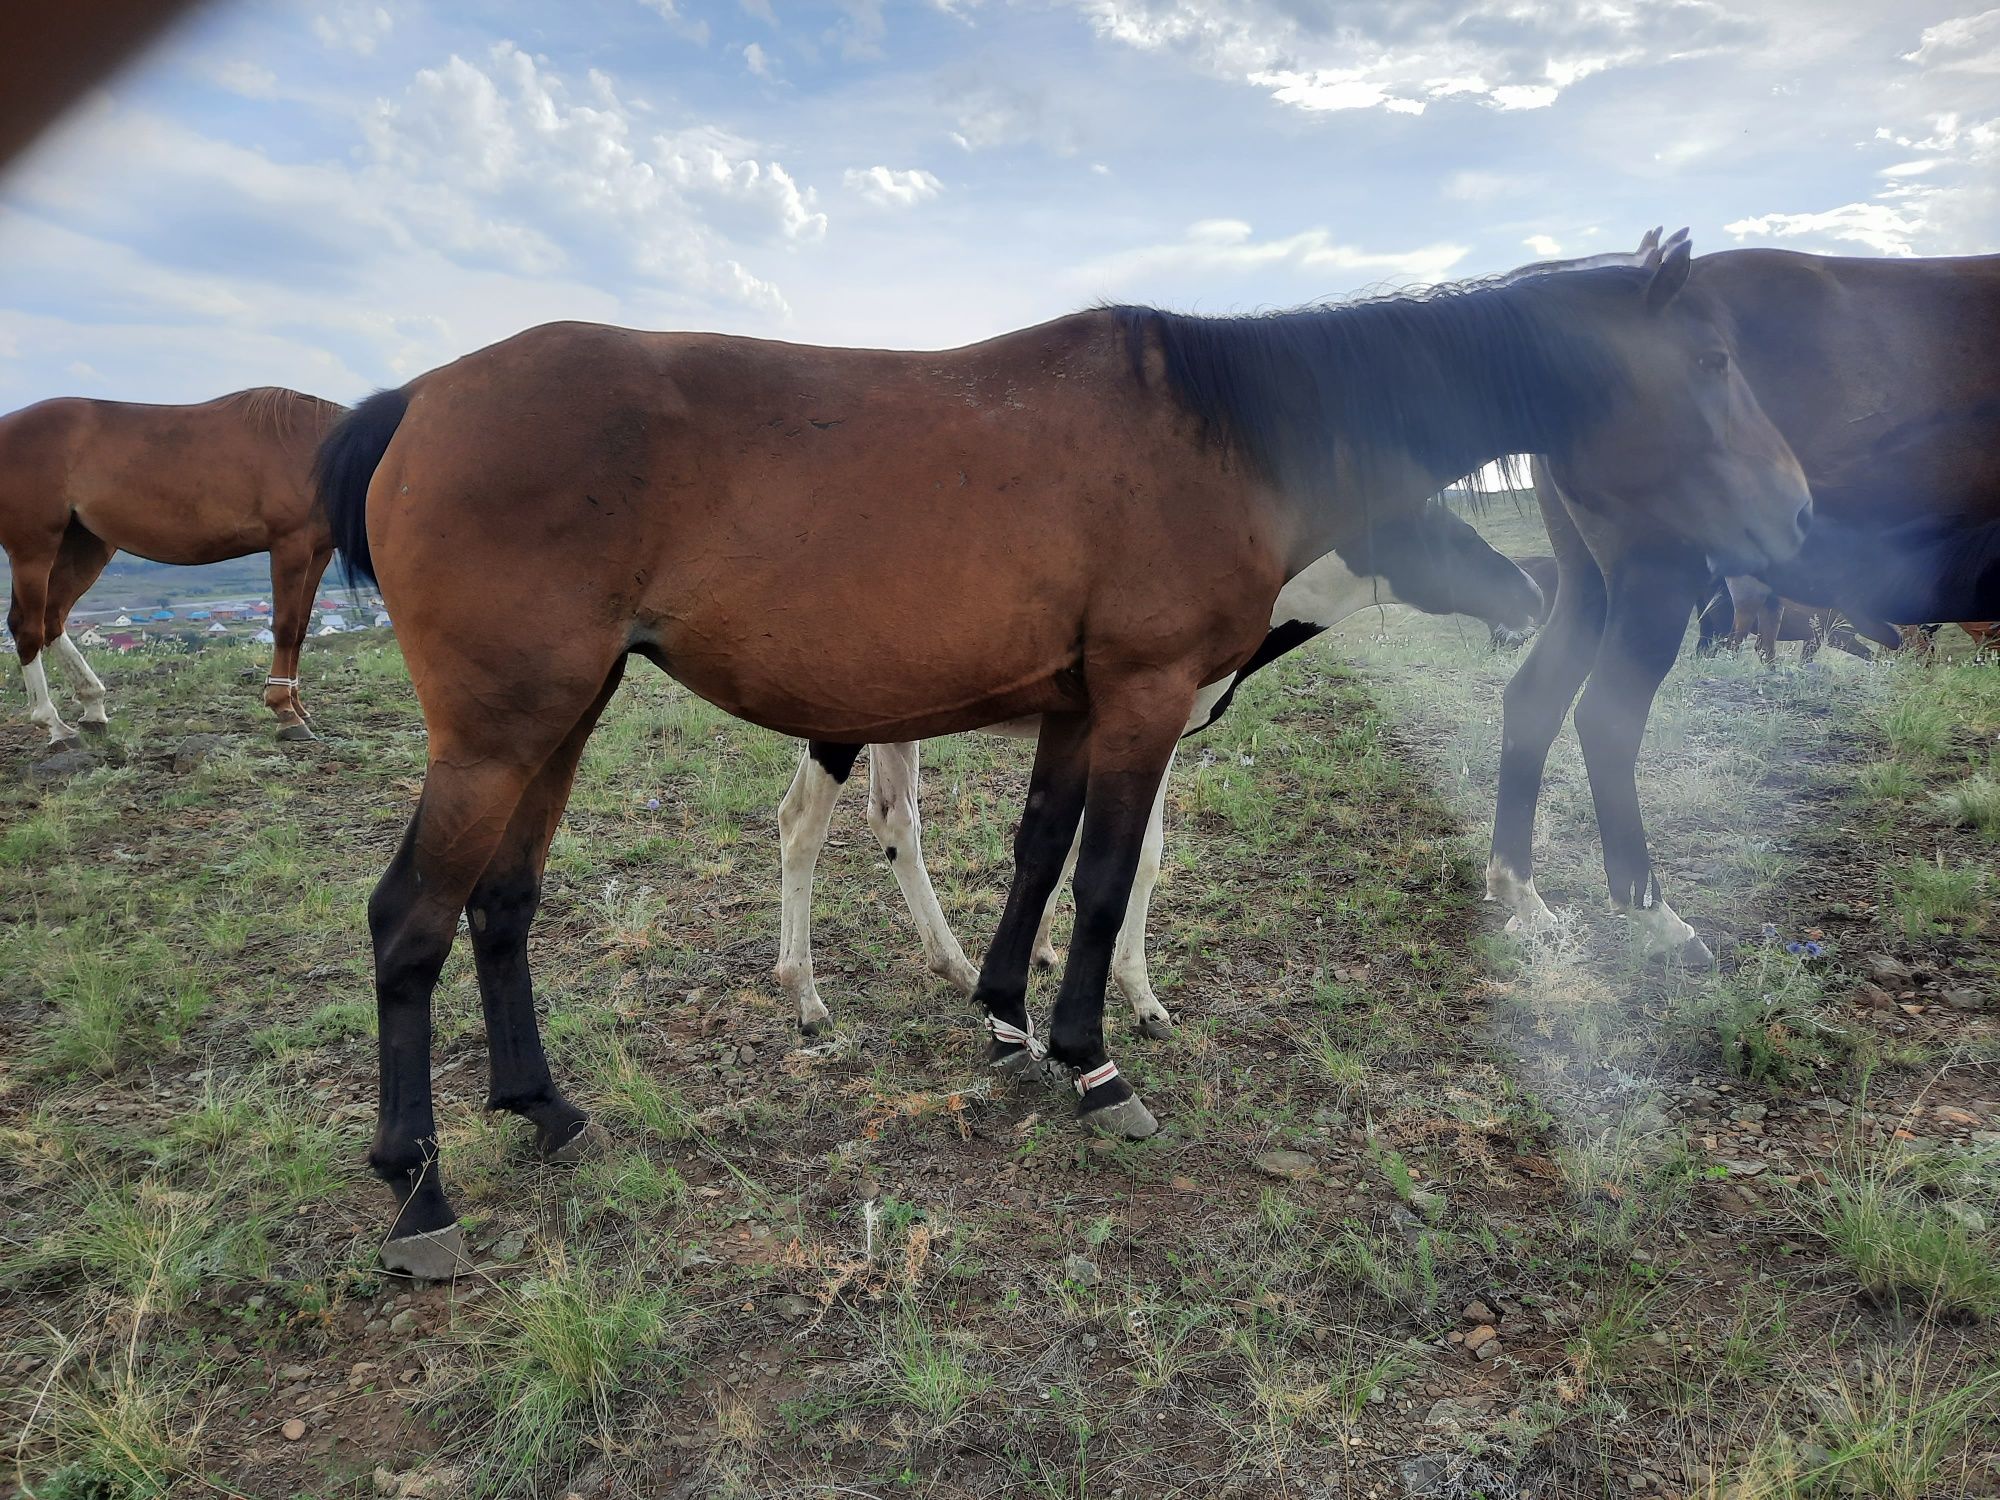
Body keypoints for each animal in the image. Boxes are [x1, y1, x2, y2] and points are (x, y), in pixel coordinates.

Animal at [1, 384, 344, 744]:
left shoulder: (317, 551)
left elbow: (302, 627)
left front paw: (298, 706)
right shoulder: (290, 546)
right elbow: (286, 627)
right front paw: (286, 711)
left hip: (86, 546)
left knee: (52, 619)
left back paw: (93, 707)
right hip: (33, 551)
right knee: (28, 627)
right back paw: (53, 723)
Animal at [768, 506, 1544, 1048]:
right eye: (1451, 537)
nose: (1533, 594)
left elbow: (1089, 848)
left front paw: (1041, 955)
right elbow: (1138, 856)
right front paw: (1142, 1002)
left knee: (894, 820)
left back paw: (954, 968)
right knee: (800, 823)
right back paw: (806, 1000)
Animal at [1488, 250, 2000, 964]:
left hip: (1587, 582)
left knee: (1535, 699)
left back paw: (1525, 900)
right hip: (1655, 575)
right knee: (1608, 716)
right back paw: (1659, 920)